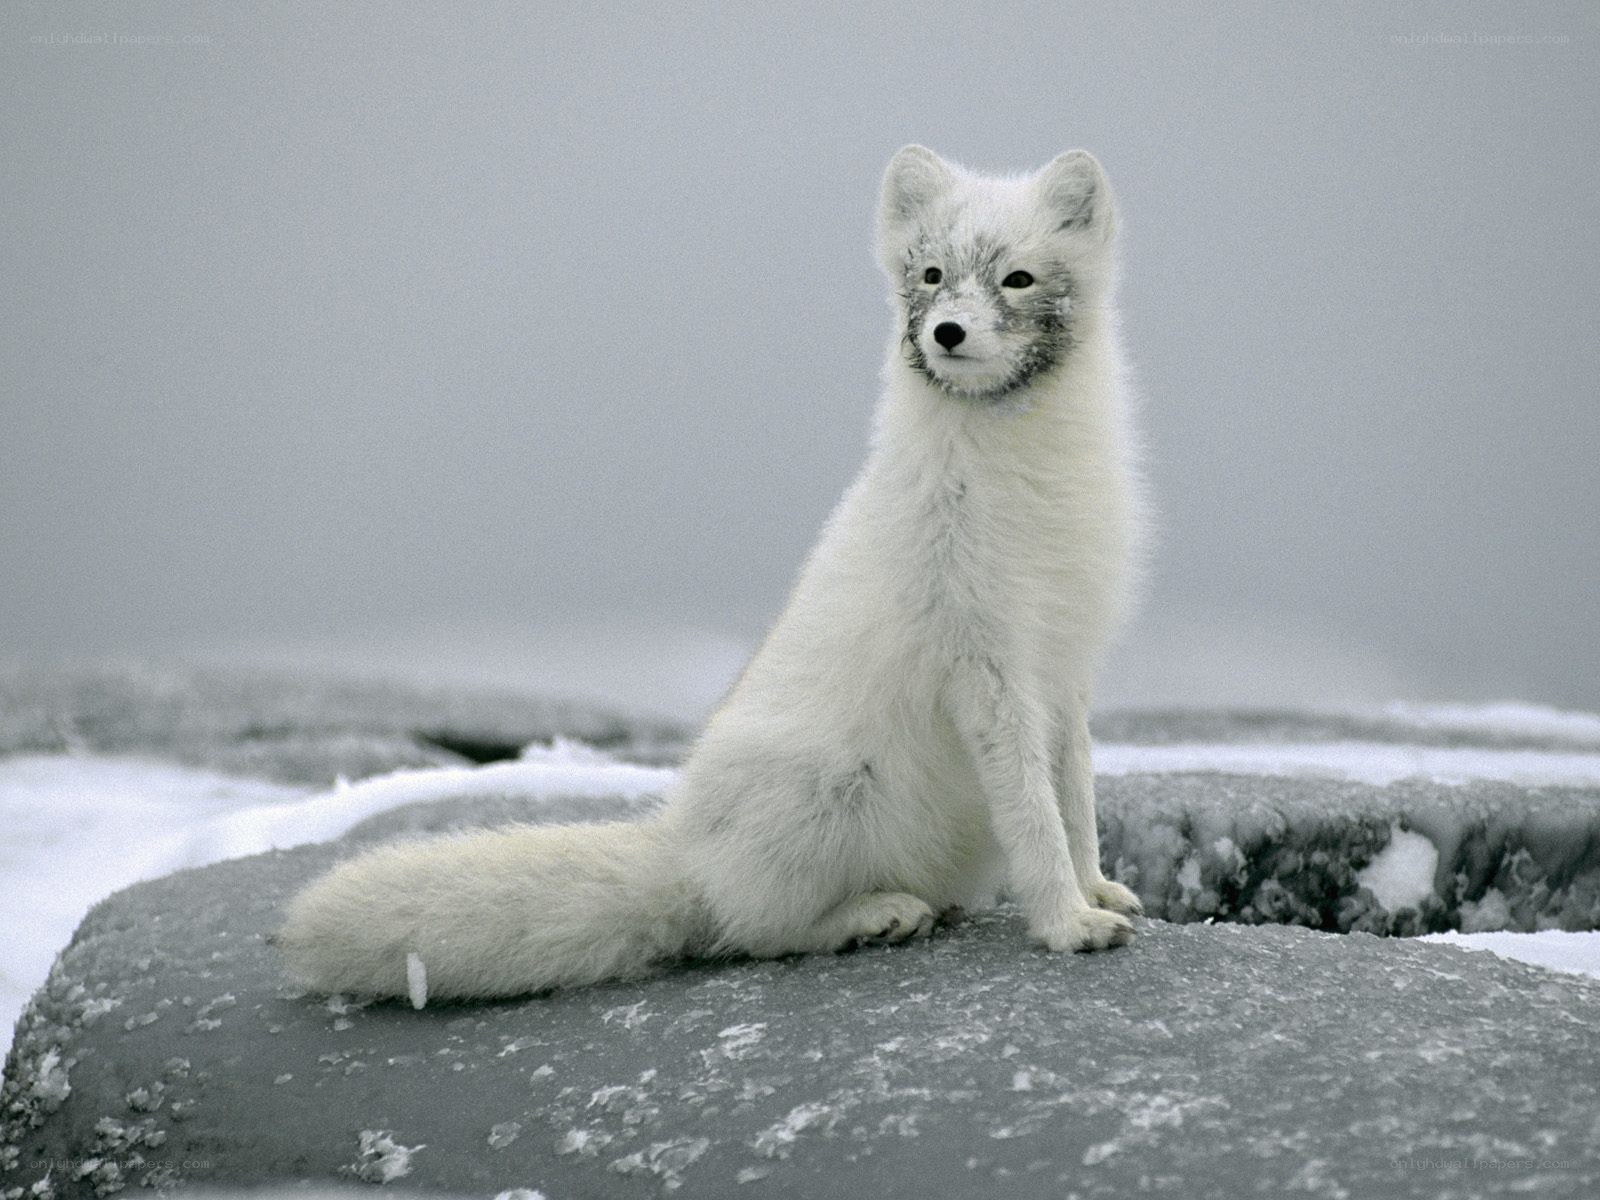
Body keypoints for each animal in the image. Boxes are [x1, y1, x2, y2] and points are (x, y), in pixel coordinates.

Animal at [276, 145, 1148, 1001]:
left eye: (1018, 279)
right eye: (932, 274)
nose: (948, 331)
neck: (1025, 479)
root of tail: (686, 850)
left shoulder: (1064, 667)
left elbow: (1075, 798)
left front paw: (1095, 888)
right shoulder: (985, 665)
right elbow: (1033, 813)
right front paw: (1067, 922)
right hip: (825, 792)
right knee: (755, 930)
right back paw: (873, 915)